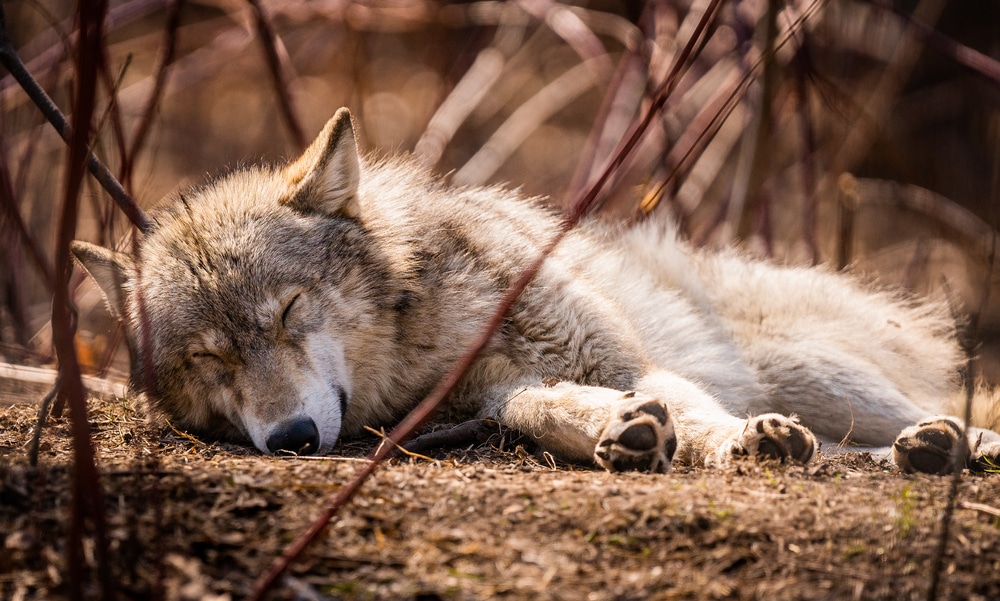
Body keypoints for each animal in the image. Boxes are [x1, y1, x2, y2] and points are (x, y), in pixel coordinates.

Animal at [71, 108, 1000, 475]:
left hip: (809, 372)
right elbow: (542, 407)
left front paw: (736, 443)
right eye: (211, 359)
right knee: (870, 444)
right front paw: (623, 434)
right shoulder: (492, 395)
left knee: (946, 411)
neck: (433, 330)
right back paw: (923, 451)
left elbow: (692, 412)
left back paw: (958, 444)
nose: (293, 438)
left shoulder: (619, 356)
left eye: (291, 312)